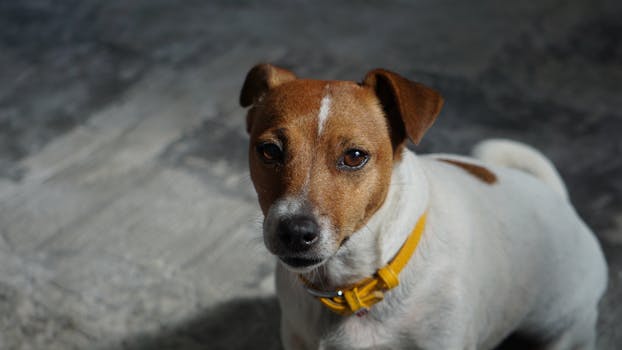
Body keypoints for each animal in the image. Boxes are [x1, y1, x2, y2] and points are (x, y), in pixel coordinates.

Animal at [239, 63, 608, 350]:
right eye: (269, 150)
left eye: (355, 156)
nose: (294, 231)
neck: (354, 286)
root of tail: (559, 199)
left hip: (566, 331)